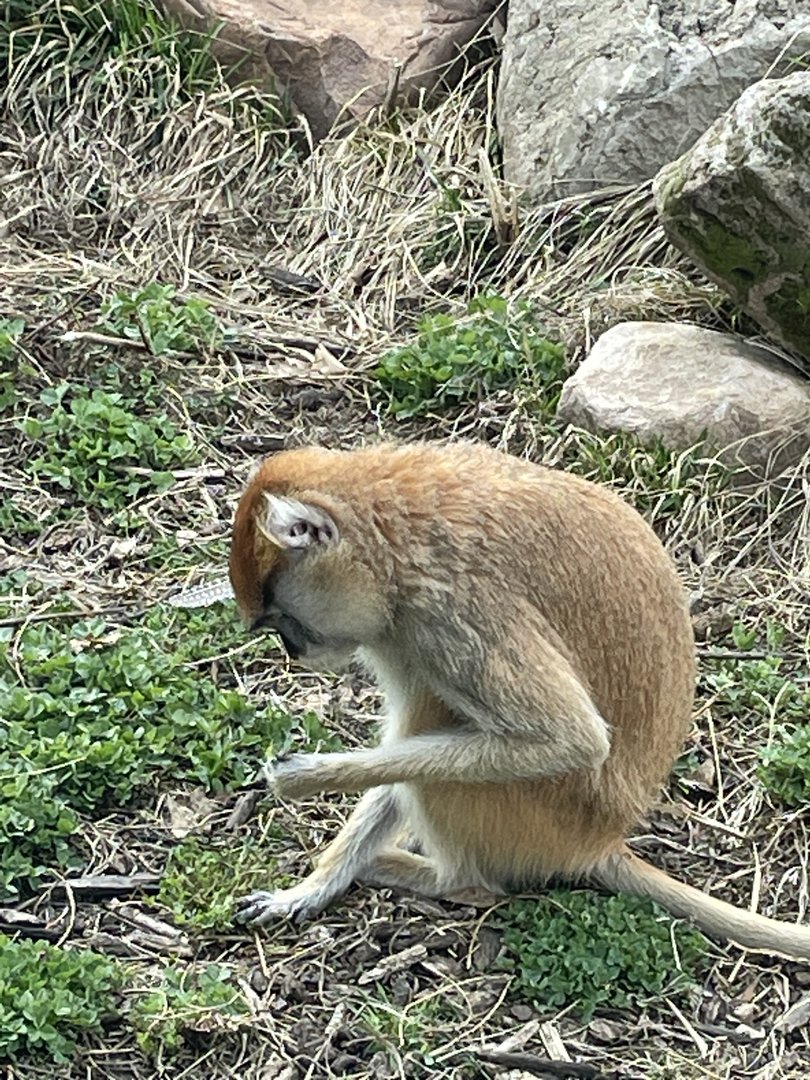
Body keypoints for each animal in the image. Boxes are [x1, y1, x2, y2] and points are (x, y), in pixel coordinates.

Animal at [227, 440, 810, 959]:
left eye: (281, 617)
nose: (293, 648)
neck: (394, 532)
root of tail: (600, 840)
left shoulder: (450, 613)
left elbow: (571, 741)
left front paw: (302, 777)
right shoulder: (402, 629)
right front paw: (309, 888)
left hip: (535, 812)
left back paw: (447, 878)